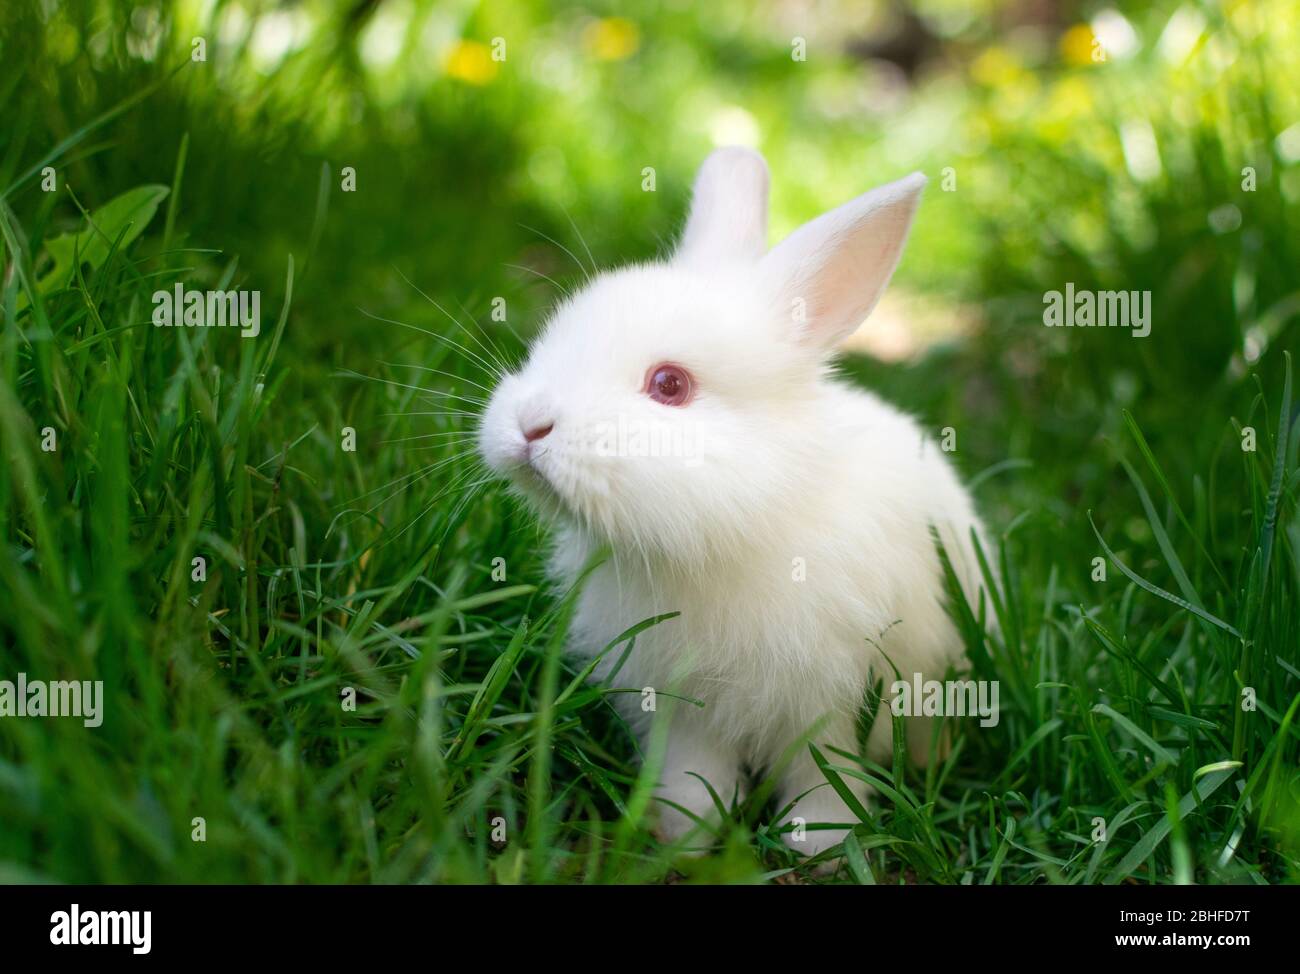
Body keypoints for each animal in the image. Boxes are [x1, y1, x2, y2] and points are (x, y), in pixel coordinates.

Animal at [477, 146, 992, 859]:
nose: (529, 428)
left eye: (670, 384)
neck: (731, 532)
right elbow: (694, 771)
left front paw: (821, 845)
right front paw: (683, 833)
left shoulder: (831, 703)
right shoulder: (679, 704)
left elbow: (826, 775)